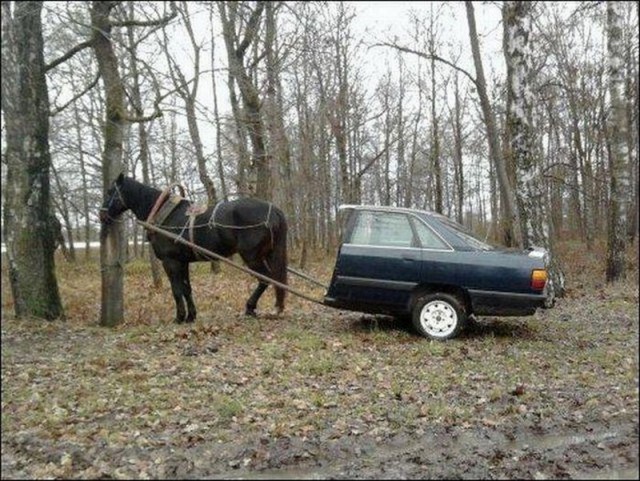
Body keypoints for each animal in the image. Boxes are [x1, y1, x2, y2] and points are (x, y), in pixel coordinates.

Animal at [99, 172, 288, 322]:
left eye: (110, 192)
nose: (101, 215)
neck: (164, 215)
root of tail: (274, 210)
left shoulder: (170, 261)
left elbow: (176, 290)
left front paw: (179, 317)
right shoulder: (183, 262)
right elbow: (186, 289)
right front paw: (191, 316)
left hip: (251, 256)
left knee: (265, 279)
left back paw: (250, 307)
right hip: (268, 254)